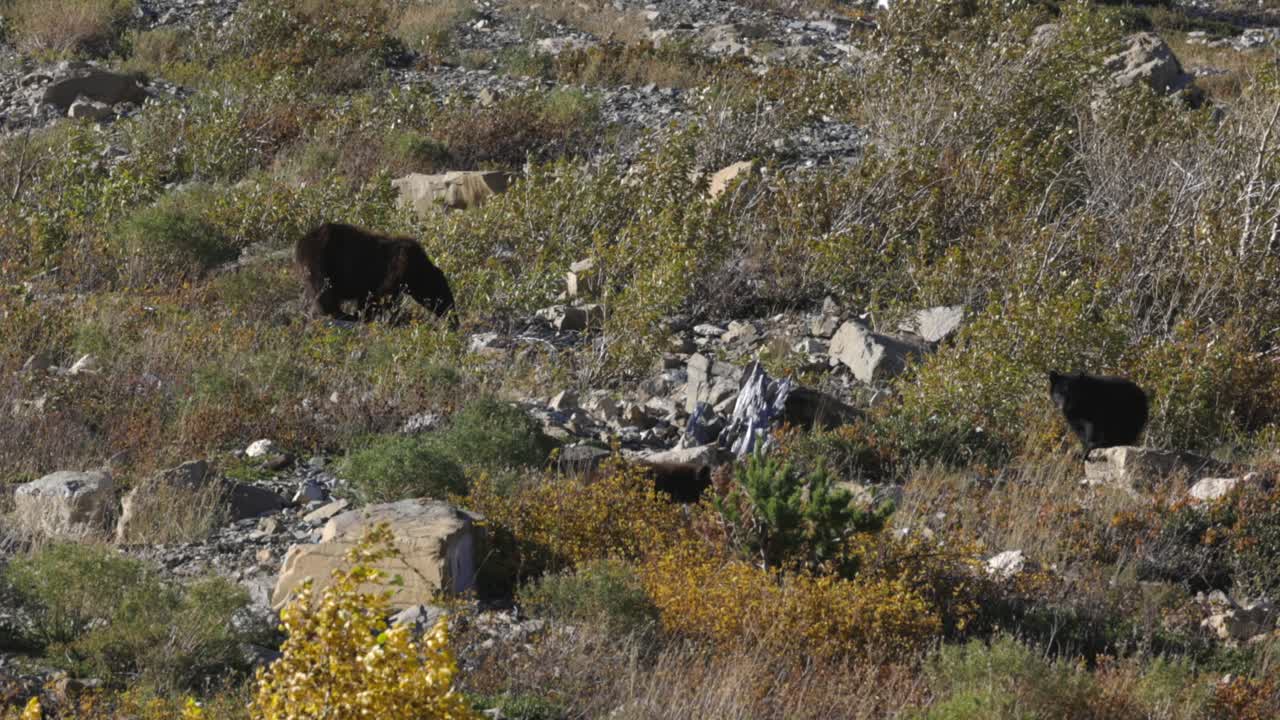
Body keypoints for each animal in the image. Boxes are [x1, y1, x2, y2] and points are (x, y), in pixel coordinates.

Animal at [294, 222, 455, 324]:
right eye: (445, 296)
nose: (454, 321)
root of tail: (302, 241)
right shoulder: (398, 265)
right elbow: (381, 296)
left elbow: (367, 297)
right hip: (320, 259)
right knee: (323, 289)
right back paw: (341, 314)